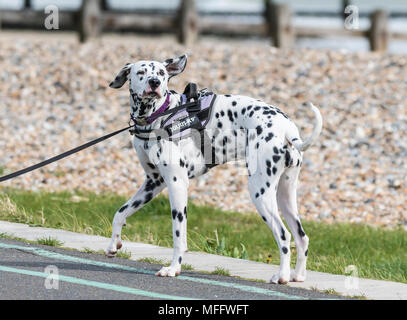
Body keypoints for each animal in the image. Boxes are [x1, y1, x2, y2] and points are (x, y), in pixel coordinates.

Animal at [107, 53, 324, 284]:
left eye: (161, 73)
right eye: (141, 72)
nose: (154, 83)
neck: (161, 115)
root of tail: (286, 127)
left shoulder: (177, 185)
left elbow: (178, 237)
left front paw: (173, 268)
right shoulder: (153, 183)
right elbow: (120, 213)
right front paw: (113, 244)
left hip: (260, 193)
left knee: (284, 236)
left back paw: (282, 276)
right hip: (284, 196)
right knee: (301, 237)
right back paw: (297, 275)